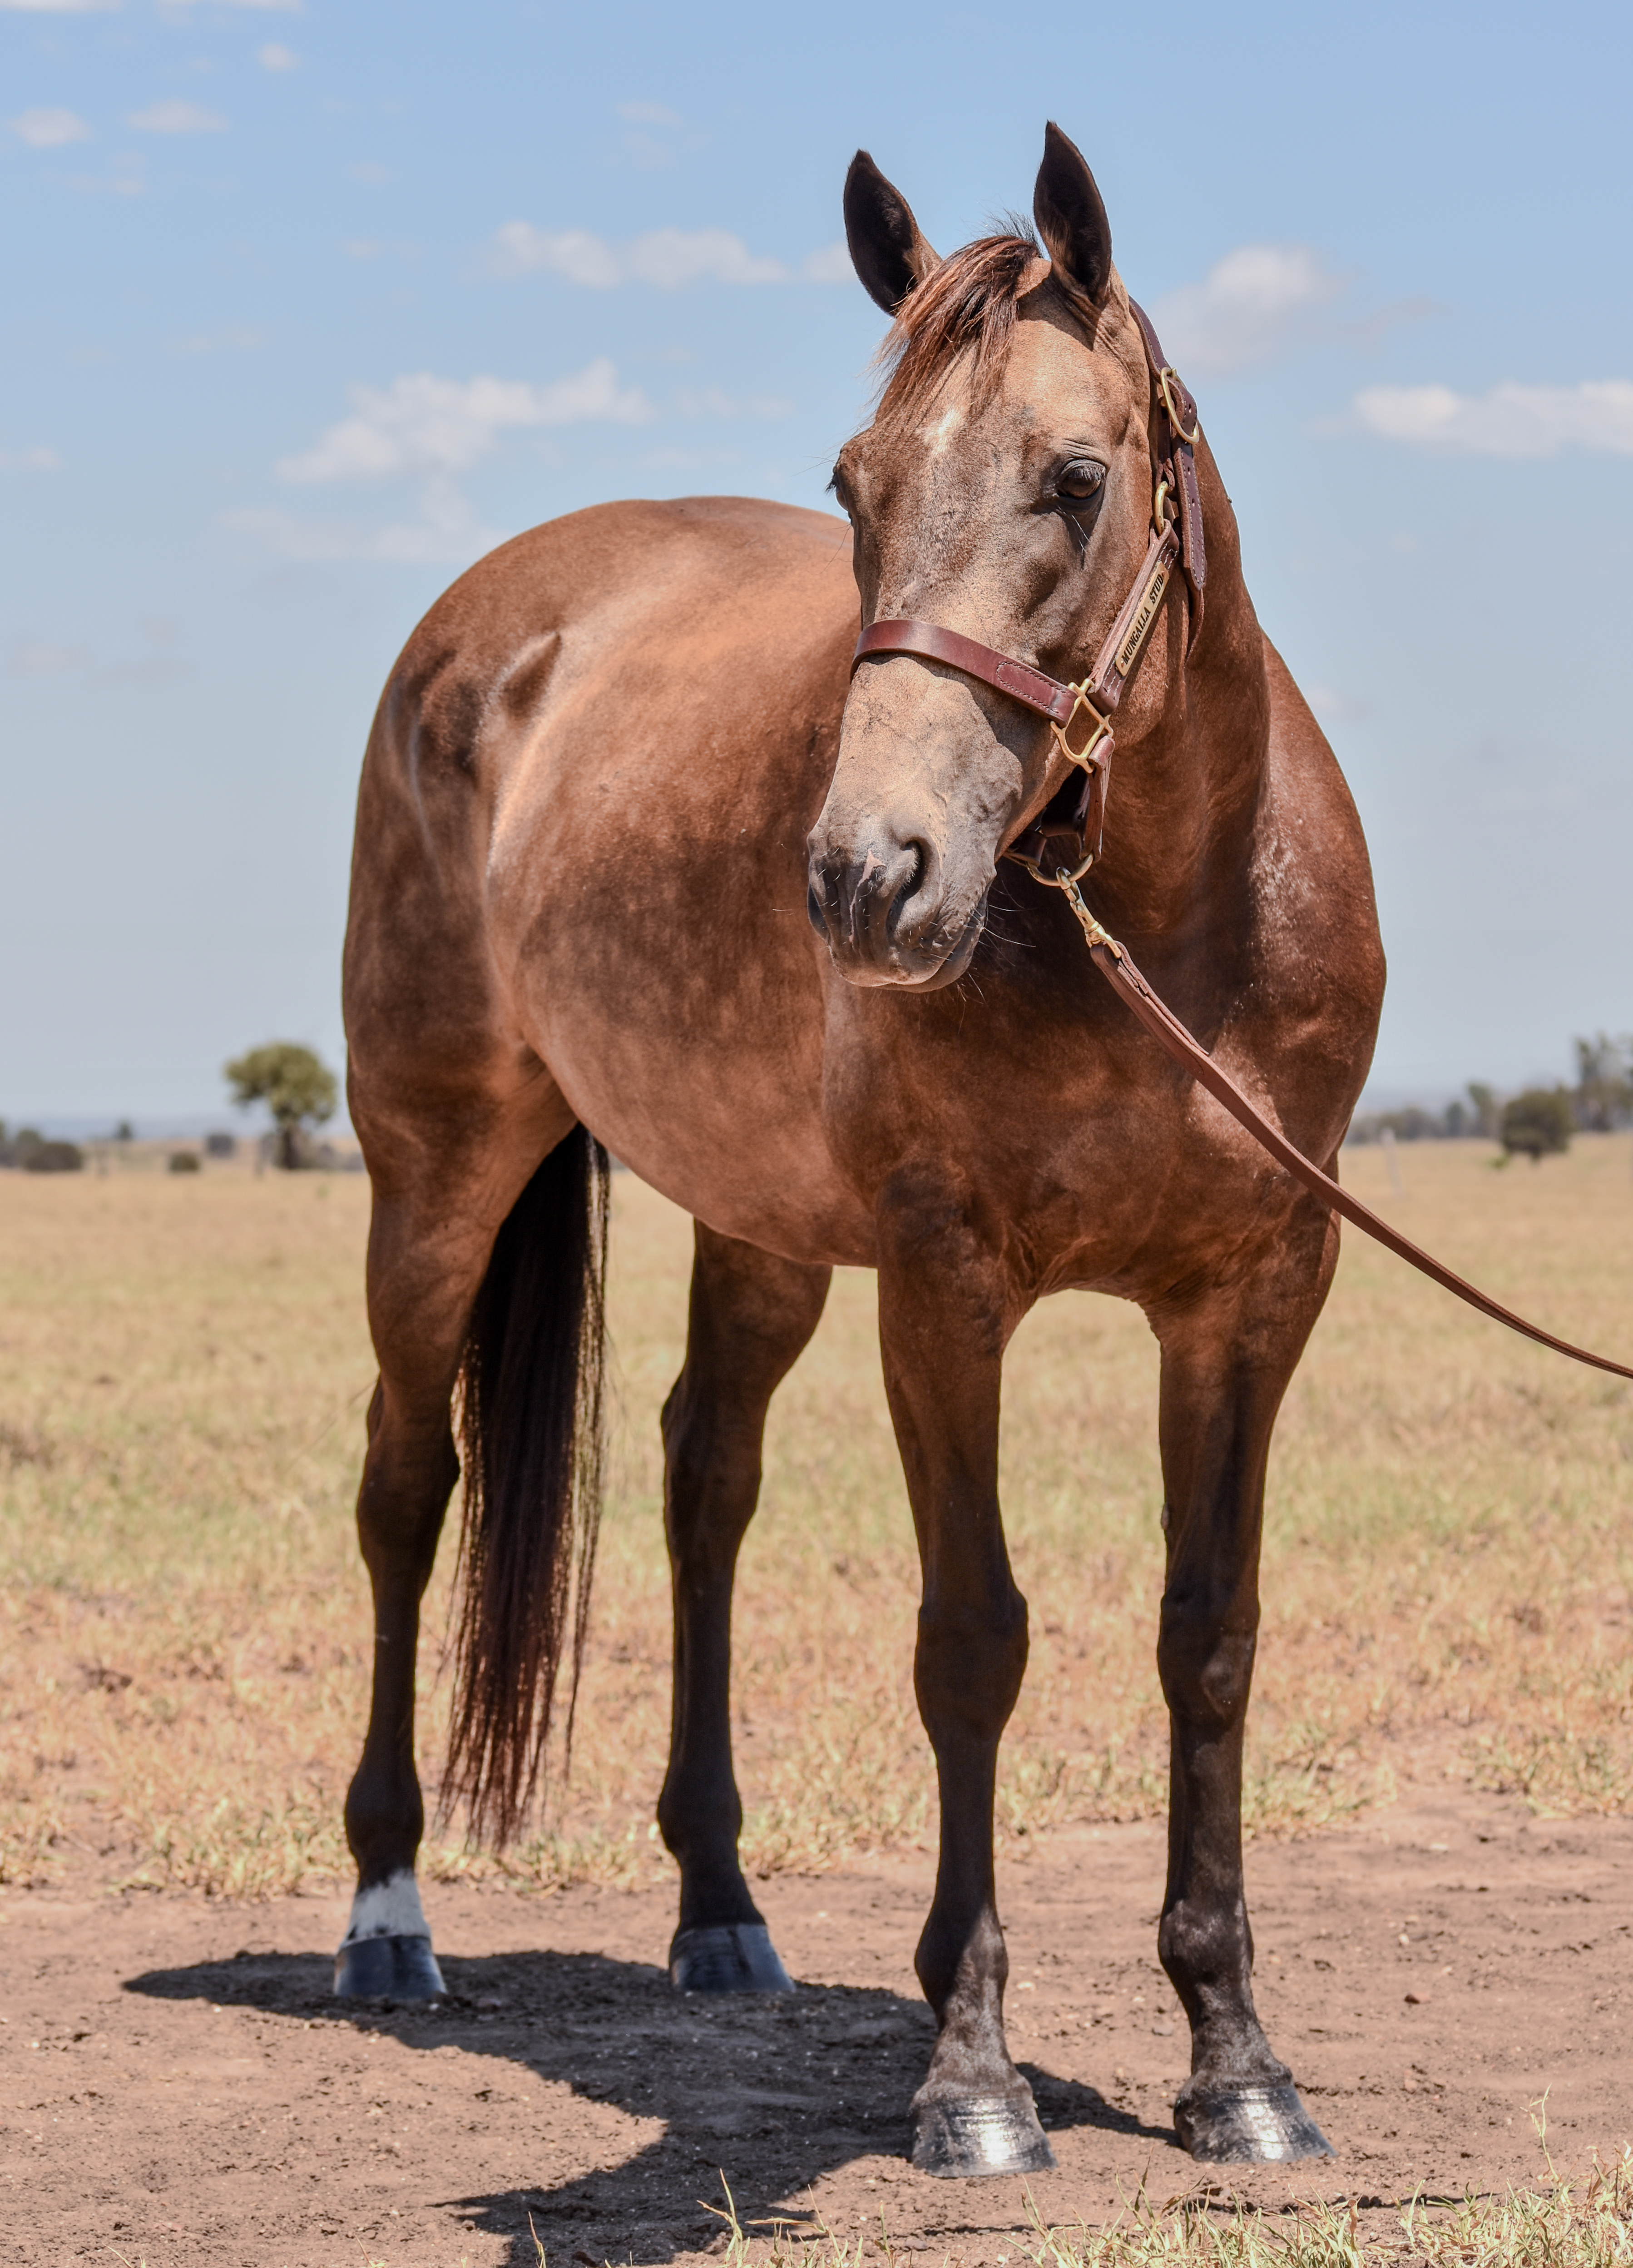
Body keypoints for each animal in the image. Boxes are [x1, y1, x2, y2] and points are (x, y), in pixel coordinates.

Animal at [335, 122, 1384, 2177]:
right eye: (850, 485)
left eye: (1075, 478)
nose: (863, 877)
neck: (1162, 918)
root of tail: (488, 620)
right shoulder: (942, 1286)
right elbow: (969, 1640)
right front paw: (971, 2077)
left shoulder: (1254, 1297)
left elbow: (1208, 1641)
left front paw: (1236, 2065)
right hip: (433, 1177)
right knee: (407, 1487)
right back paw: (389, 1920)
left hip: (755, 1230)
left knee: (700, 1480)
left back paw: (717, 1910)